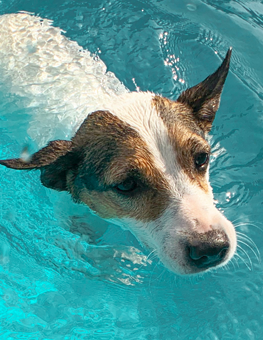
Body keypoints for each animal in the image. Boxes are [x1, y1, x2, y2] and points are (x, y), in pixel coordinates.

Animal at [0, 12, 237, 276]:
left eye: (202, 158)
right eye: (126, 185)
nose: (211, 247)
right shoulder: (66, 217)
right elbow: (80, 249)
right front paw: (117, 262)